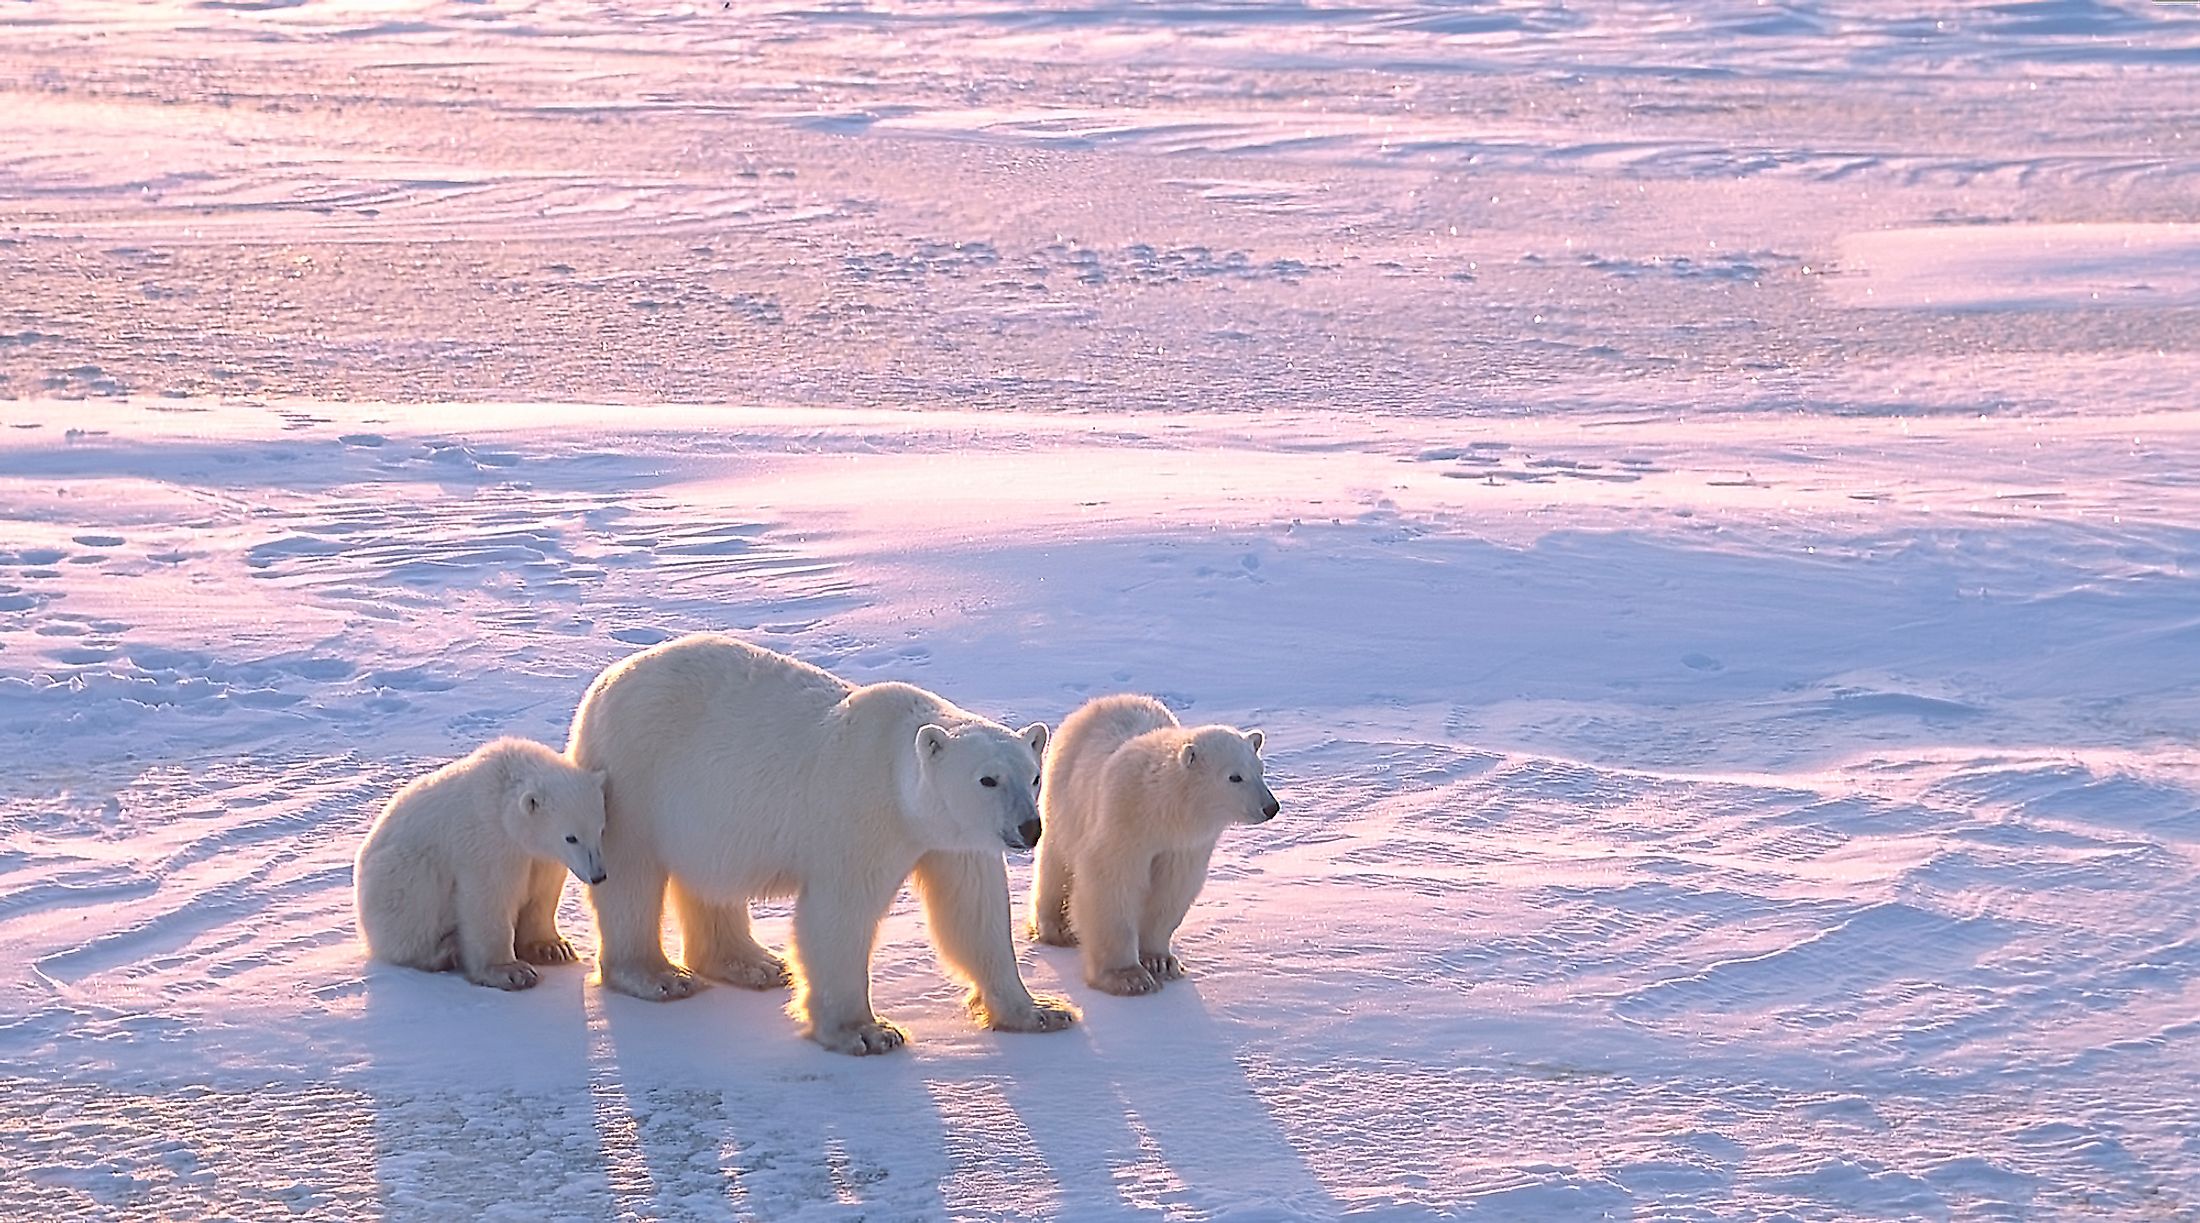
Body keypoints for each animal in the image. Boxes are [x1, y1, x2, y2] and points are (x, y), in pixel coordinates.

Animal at [356, 739, 607, 989]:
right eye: (571, 837)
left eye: (600, 830)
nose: (598, 876)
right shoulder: (486, 839)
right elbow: (488, 896)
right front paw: (512, 971)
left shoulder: (541, 857)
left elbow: (543, 892)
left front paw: (553, 948)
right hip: (396, 875)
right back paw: (444, 951)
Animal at [567, 633, 1082, 1055]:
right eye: (987, 779)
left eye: (1033, 776)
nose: (1030, 828)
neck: (897, 777)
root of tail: (605, 682)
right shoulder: (860, 815)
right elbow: (840, 914)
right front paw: (866, 1032)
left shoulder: (953, 840)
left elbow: (974, 913)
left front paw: (1042, 1011)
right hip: (636, 775)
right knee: (632, 877)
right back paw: (658, 976)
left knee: (711, 880)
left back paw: (753, 964)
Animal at [1025, 699, 1276, 994]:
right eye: (1234, 777)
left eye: (1260, 770)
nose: (1271, 807)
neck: (1161, 809)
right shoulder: (1123, 823)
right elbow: (1110, 884)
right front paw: (1127, 976)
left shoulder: (1184, 845)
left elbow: (1171, 889)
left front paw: (1160, 962)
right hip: (1065, 792)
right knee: (1055, 859)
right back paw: (1054, 929)